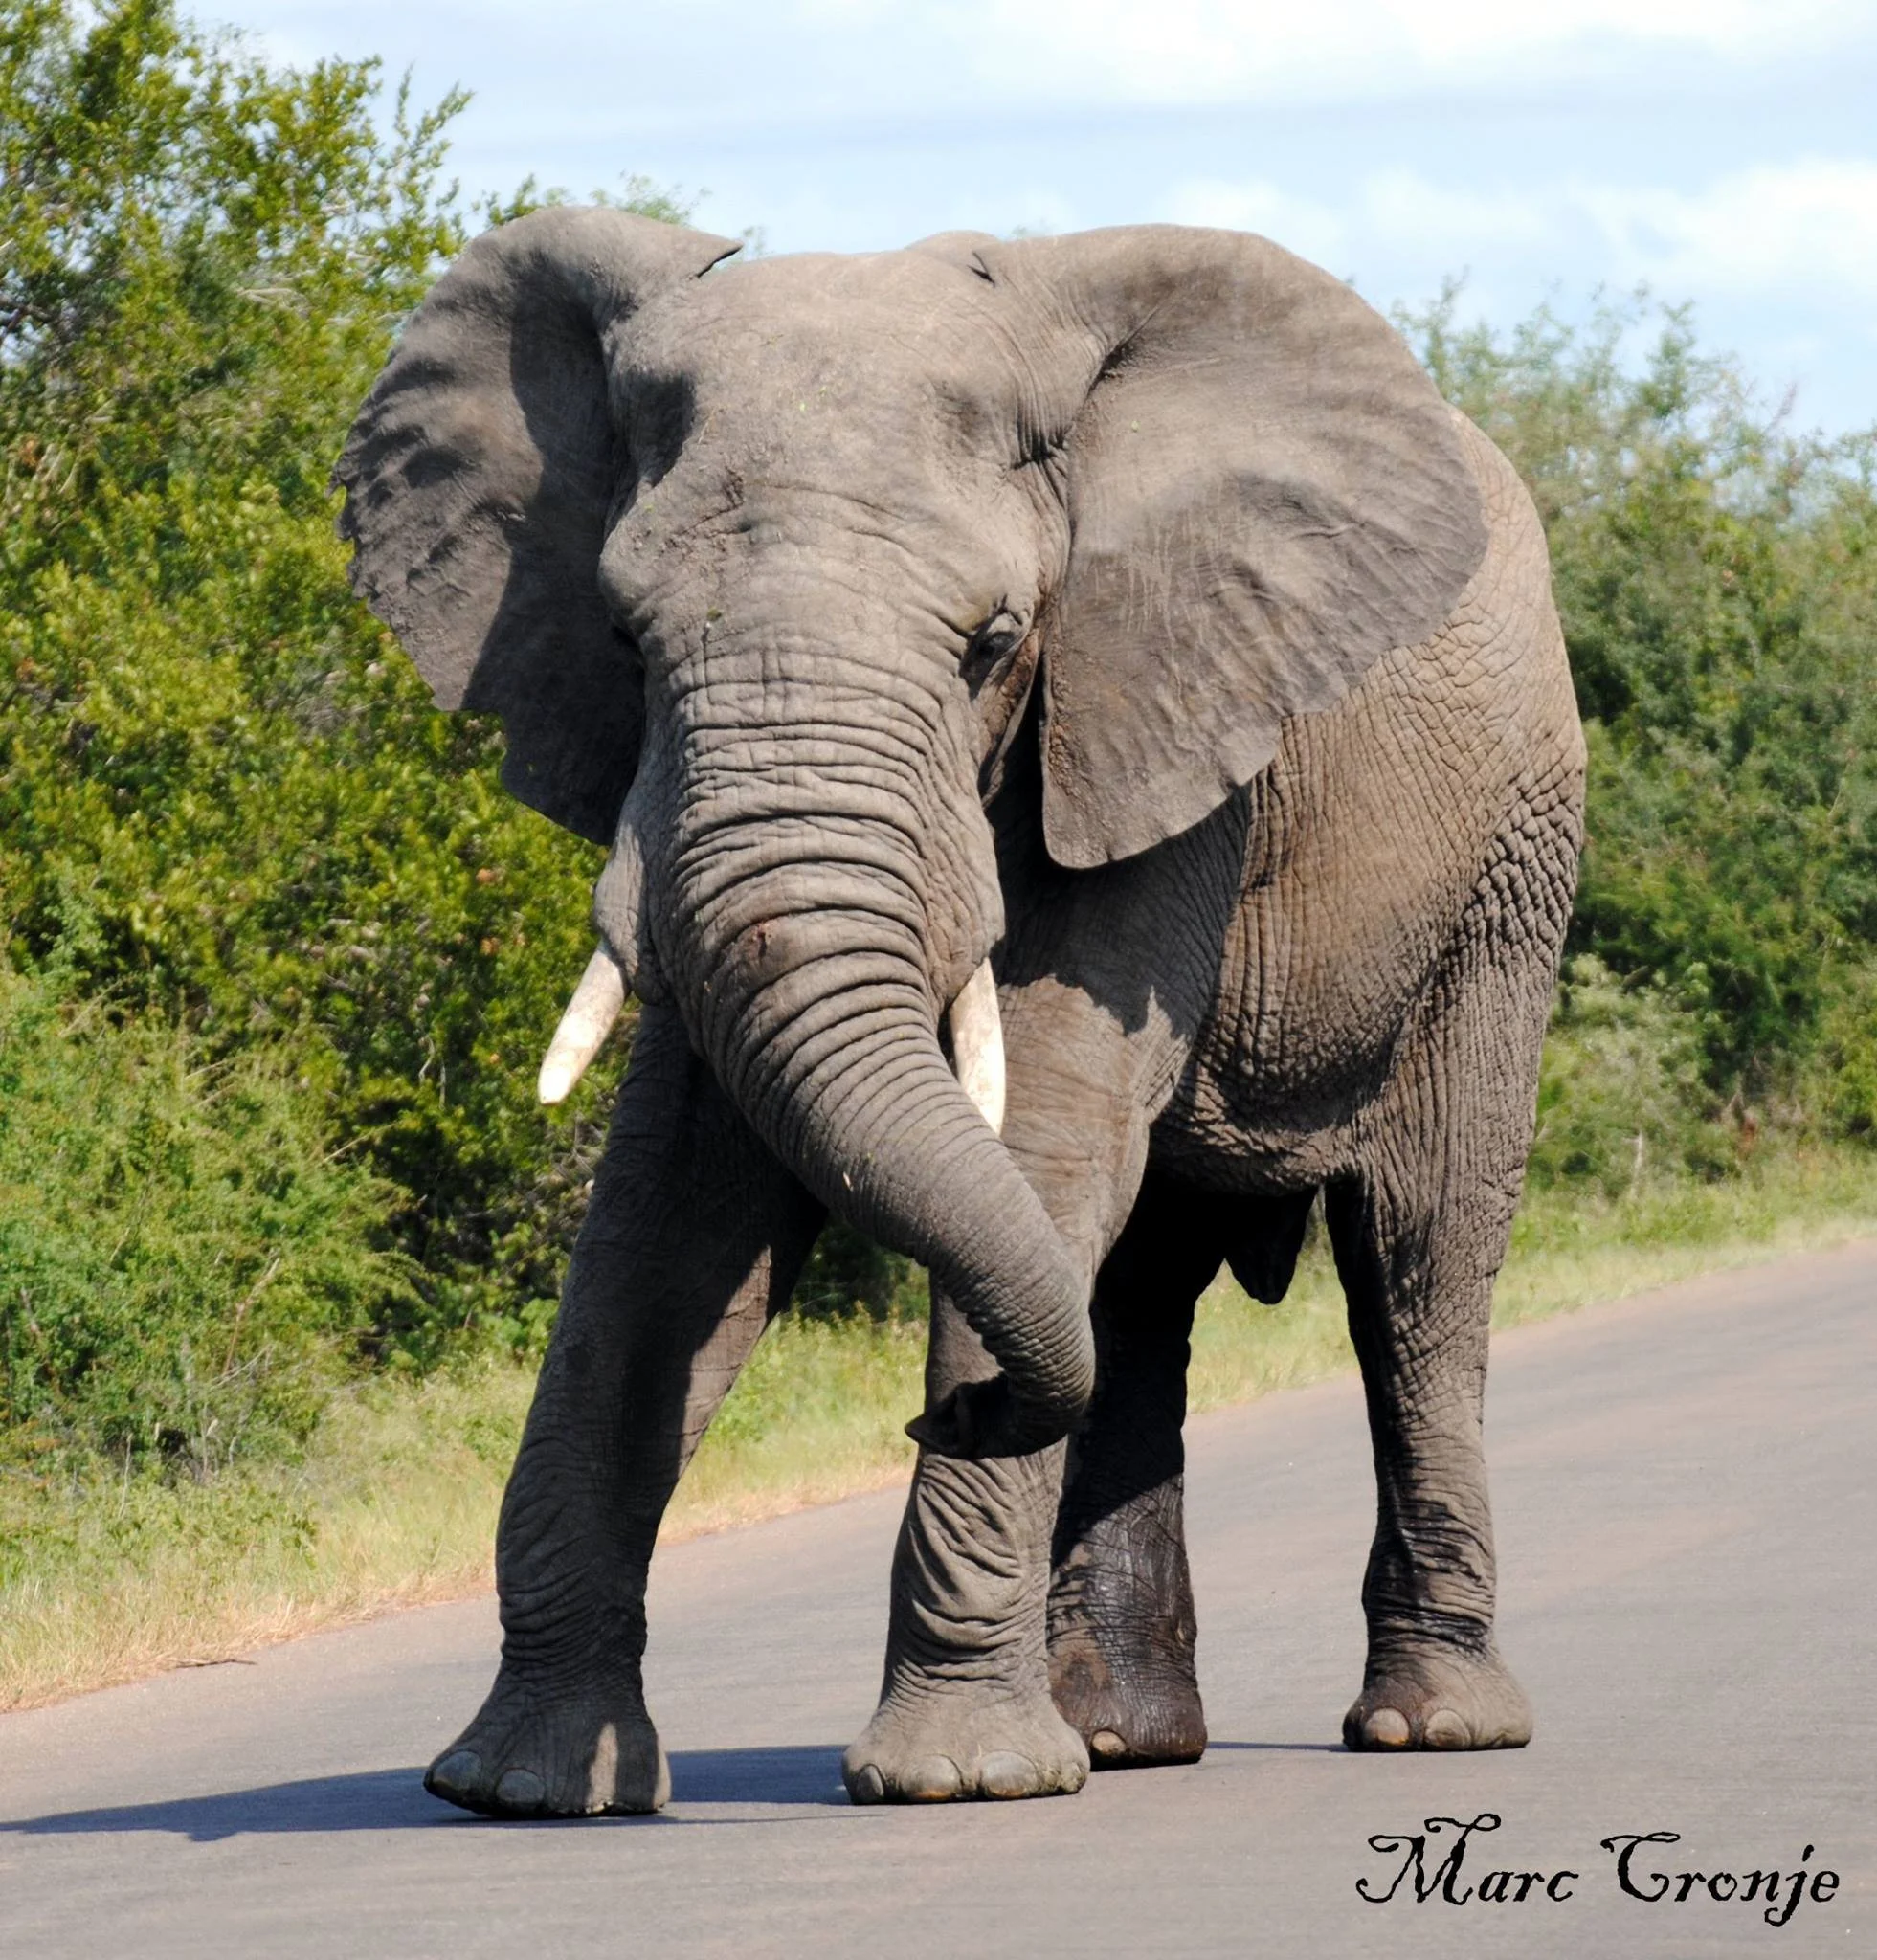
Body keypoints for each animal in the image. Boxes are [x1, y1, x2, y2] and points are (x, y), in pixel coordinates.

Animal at [334, 209, 1585, 1813]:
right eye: (620, 639)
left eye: (993, 642)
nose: (944, 1411)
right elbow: (675, 1208)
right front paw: (523, 1789)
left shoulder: (1153, 706)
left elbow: (1043, 1119)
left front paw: (956, 1781)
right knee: (1135, 1297)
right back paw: (1117, 1739)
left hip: (1507, 883)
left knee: (1416, 1261)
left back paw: (1433, 1730)